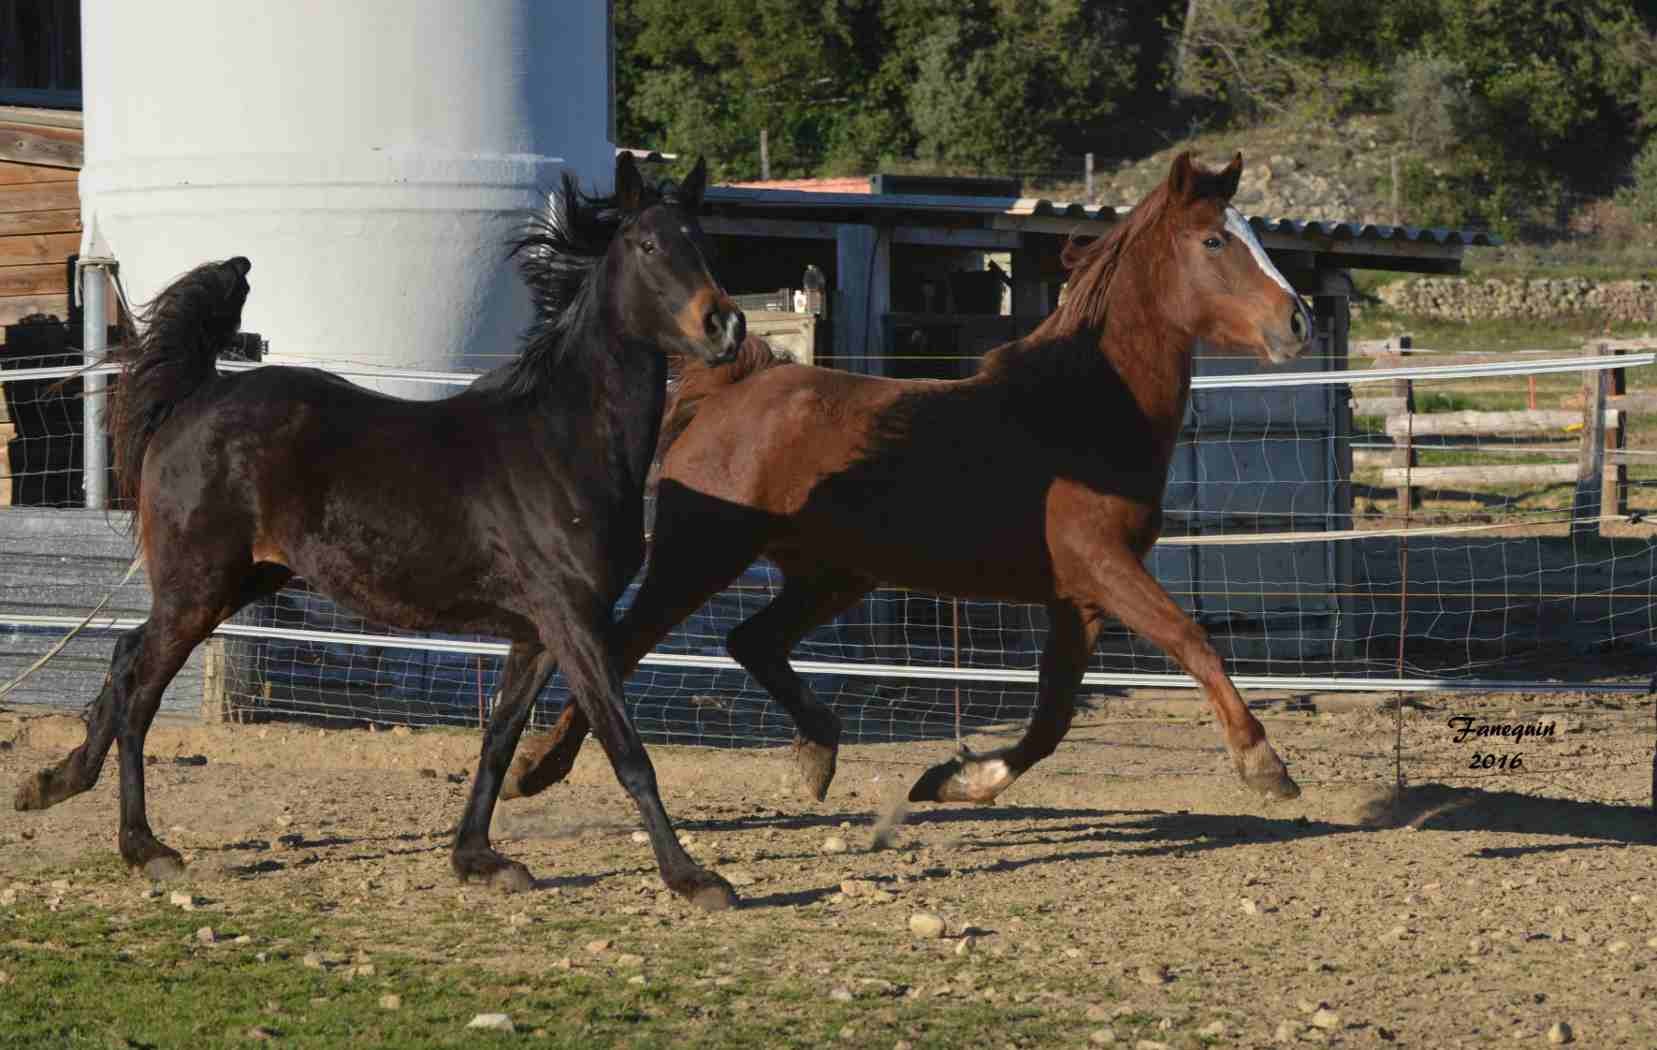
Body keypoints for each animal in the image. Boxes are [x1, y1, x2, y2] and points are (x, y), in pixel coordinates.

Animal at [11, 153, 752, 907]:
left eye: (705, 243)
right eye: (649, 246)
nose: (725, 326)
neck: (563, 442)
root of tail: (198, 392)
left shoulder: (537, 631)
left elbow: (498, 739)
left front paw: (478, 858)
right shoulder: (573, 619)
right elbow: (628, 751)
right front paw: (694, 878)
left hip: (239, 581)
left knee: (125, 654)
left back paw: (53, 783)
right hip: (199, 586)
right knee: (139, 690)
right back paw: (144, 846)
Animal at [510, 149, 1312, 818]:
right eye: (1215, 242)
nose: (1298, 321)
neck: (1081, 407)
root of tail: (735, 385)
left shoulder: (1079, 594)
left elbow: (1052, 716)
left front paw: (955, 780)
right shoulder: (1101, 566)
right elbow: (1189, 638)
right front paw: (1264, 765)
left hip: (835, 574)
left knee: (750, 639)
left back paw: (815, 754)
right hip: (698, 557)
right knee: (621, 647)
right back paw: (536, 767)